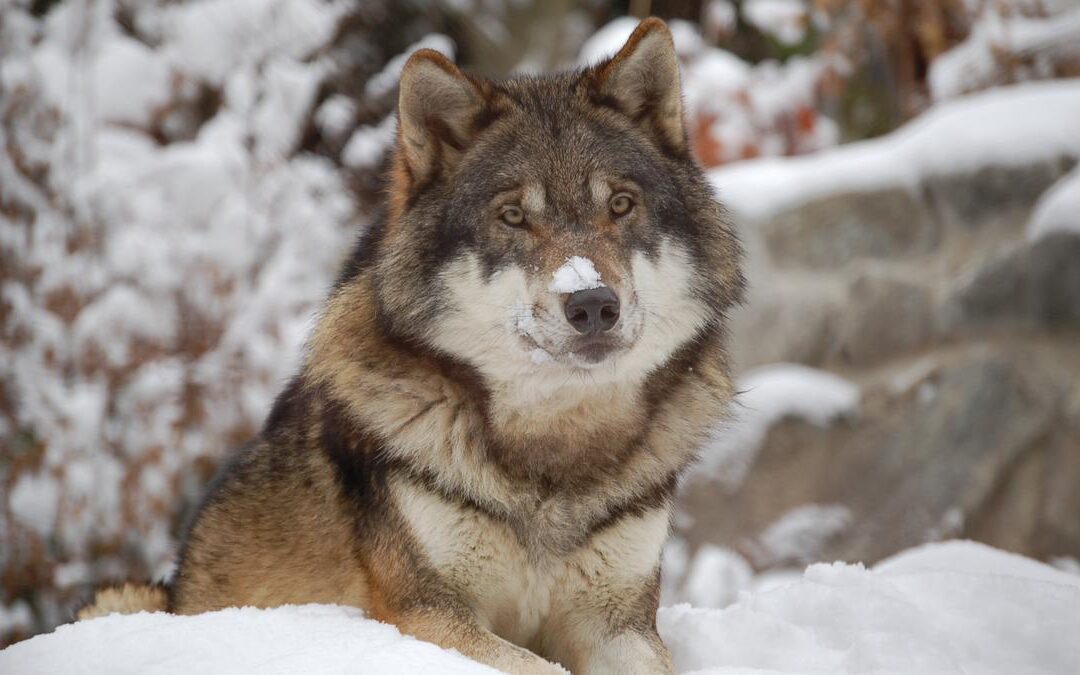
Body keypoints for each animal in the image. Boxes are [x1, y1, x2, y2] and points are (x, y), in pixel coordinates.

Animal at [78, 18, 743, 669]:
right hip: (122, 598)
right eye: (512, 217)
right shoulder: (424, 613)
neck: (552, 455)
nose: (593, 304)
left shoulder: (618, 625)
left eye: (621, 206)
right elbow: (534, 665)